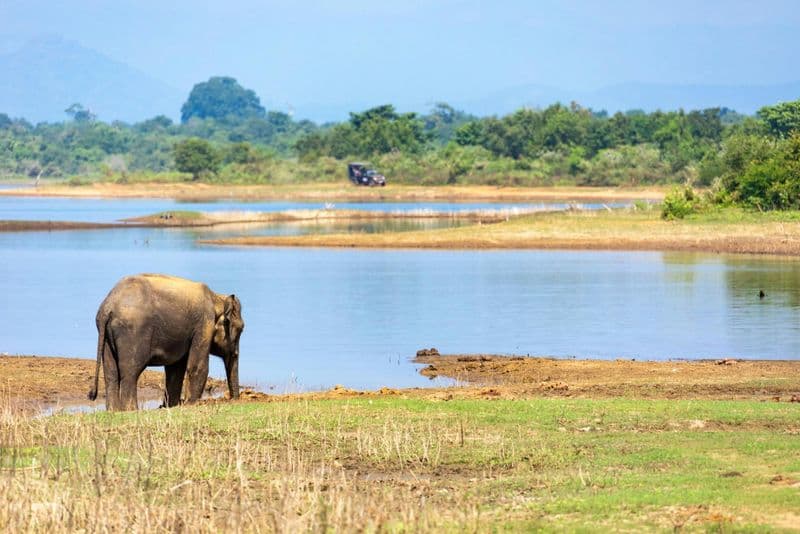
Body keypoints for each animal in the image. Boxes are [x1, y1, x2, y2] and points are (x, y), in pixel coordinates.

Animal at [88, 273, 244, 411]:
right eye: (241, 329)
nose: (234, 399)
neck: (217, 298)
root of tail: (107, 307)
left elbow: (176, 368)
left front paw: (170, 406)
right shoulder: (204, 324)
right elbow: (197, 365)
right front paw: (190, 404)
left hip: (106, 338)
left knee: (111, 373)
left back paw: (114, 411)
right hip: (132, 334)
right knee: (130, 371)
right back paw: (131, 410)